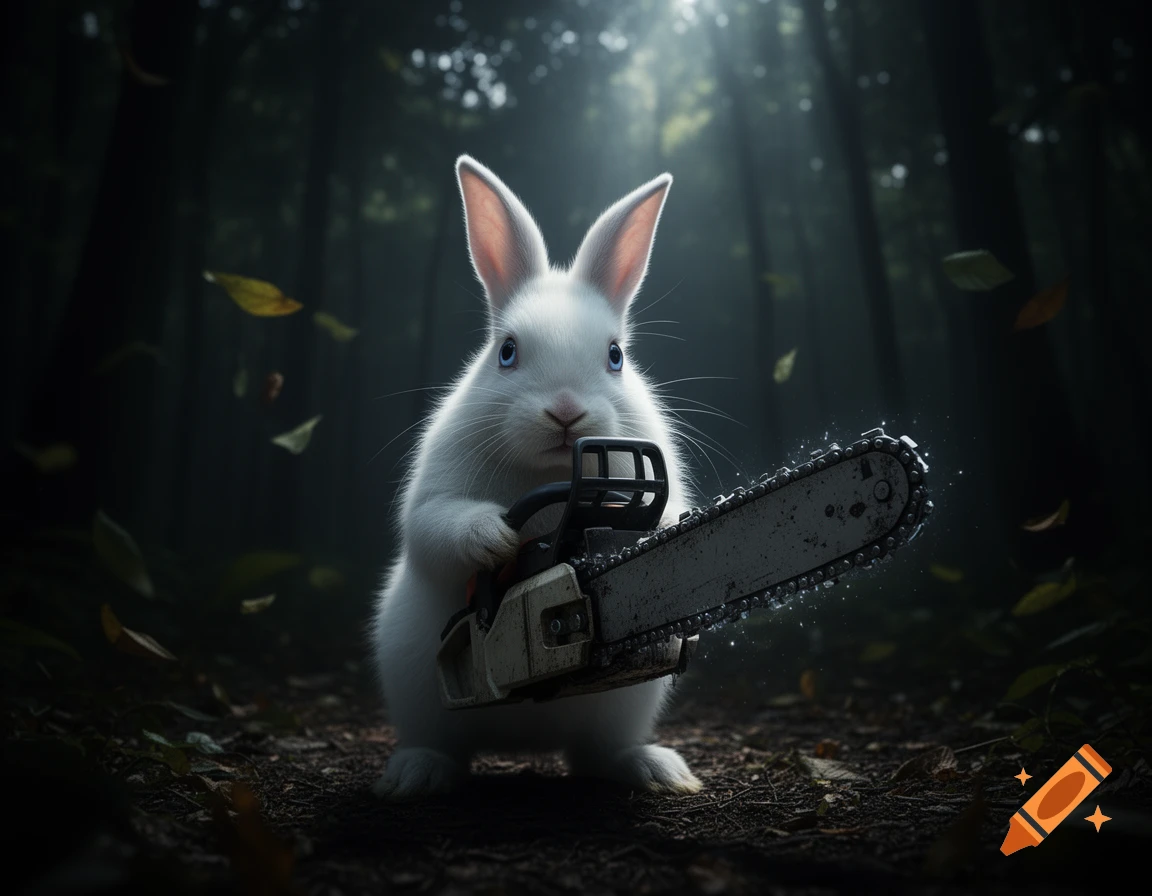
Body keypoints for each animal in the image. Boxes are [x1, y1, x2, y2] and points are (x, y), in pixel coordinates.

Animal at [370, 154, 702, 801]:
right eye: (507, 352)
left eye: (615, 355)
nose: (566, 412)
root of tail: (526, 739)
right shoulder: (434, 503)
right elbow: (436, 531)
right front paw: (494, 539)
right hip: (415, 678)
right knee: (443, 742)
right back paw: (418, 774)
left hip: (624, 706)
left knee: (596, 753)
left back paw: (656, 771)